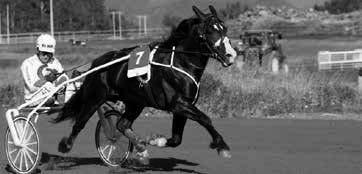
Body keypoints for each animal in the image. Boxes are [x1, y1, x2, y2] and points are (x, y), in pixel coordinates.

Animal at [52, 5, 236, 160]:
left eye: (224, 29)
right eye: (211, 30)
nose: (231, 55)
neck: (180, 62)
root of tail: (97, 63)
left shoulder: (183, 106)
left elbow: (176, 139)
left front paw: (154, 141)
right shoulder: (178, 104)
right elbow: (205, 119)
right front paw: (222, 146)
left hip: (135, 102)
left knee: (121, 124)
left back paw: (140, 147)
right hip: (95, 97)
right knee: (80, 123)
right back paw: (65, 145)